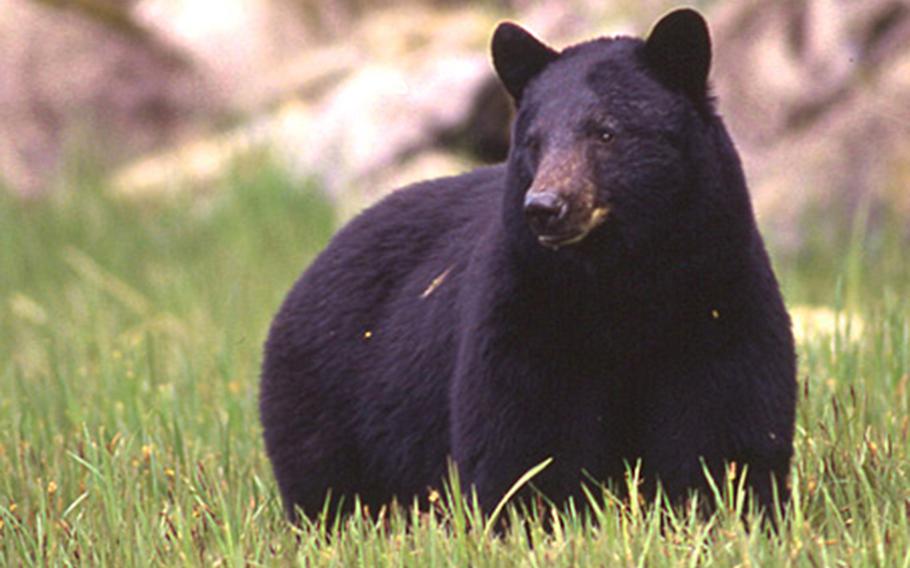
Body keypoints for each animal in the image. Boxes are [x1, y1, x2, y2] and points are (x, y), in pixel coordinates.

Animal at [260, 8, 797, 522]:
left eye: (605, 131)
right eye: (534, 141)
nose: (545, 206)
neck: (621, 276)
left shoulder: (715, 288)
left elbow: (724, 419)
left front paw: (725, 509)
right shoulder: (527, 303)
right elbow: (526, 431)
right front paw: (537, 516)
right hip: (330, 392)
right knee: (329, 483)